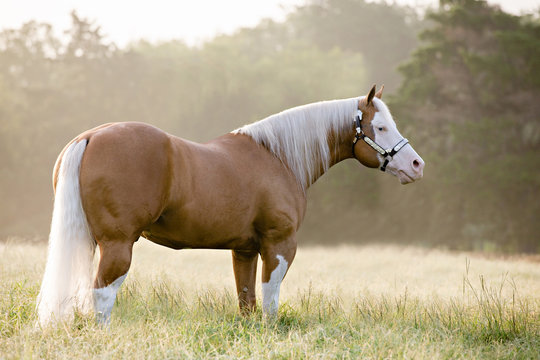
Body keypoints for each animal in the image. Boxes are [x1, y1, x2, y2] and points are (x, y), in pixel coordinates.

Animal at [37, 86, 426, 324]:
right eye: (380, 127)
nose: (416, 165)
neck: (277, 157)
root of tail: (90, 136)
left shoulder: (245, 250)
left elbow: (247, 301)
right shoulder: (279, 245)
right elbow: (270, 300)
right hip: (117, 245)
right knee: (102, 296)